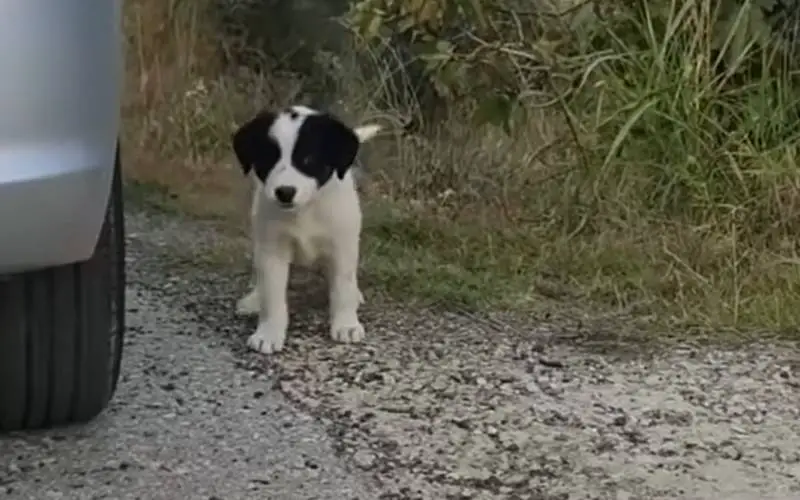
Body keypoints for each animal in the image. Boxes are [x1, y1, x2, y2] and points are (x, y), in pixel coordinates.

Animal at [231, 105, 382, 354]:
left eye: (308, 159)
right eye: (268, 158)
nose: (285, 192)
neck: (306, 210)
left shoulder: (342, 246)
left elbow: (342, 287)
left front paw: (346, 324)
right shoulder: (272, 250)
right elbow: (272, 296)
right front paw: (268, 333)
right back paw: (253, 298)